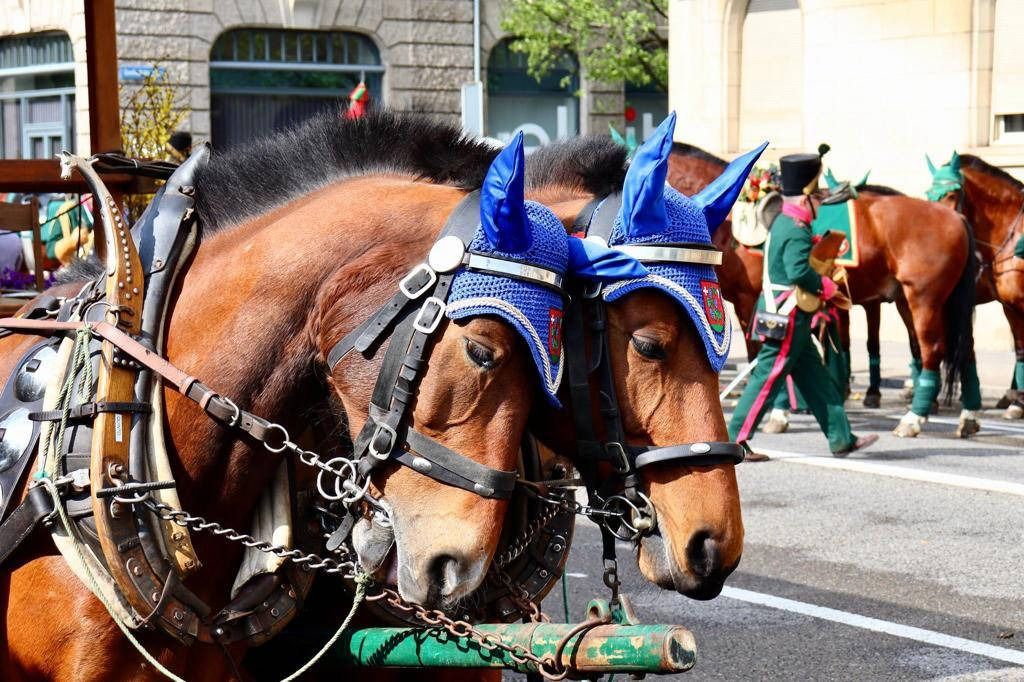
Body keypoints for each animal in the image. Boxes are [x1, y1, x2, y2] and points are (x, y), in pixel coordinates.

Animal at [668, 143, 977, 438]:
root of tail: (955, 216)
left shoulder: (750, 301)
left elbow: (761, 355)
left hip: (924, 300)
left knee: (932, 350)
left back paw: (913, 418)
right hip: (917, 301)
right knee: (959, 349)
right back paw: (965, 417)